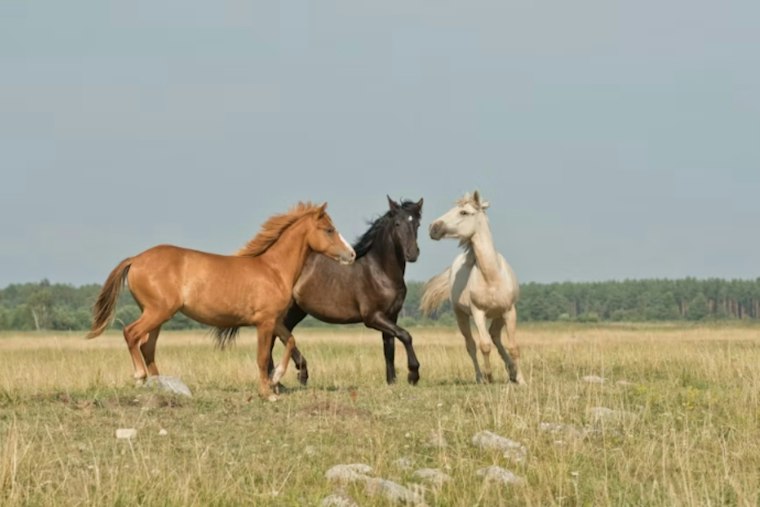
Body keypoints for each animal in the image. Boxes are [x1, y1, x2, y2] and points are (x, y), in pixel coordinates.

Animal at [86, 202, 356, 400]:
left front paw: (277, 378)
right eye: (329, 229)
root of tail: (136, 259)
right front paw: (268, 393)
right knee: (131, 334)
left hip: (157, 316)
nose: (351, 254)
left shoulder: (275, 321)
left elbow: (290, 341)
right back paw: (140, 377)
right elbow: (262, 357)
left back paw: (162, 385)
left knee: (147, 346)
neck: (273, 270)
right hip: (157, 312)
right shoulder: (264, 323)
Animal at [271, 196, 423, 385]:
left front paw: (391, 382)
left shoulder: (391, 315)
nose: (412, 253)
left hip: (296, 310)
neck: (380, 271)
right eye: (397, 223)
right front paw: (413, 374)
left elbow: (389, 348)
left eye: (417, 224)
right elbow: (405, 335)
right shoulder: (373, 317)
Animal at [421, 191, 525, 384]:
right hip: (461, 315)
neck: (491, 276)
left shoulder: (509, 311)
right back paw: (480, 377)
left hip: (499, 315)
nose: (433, 227)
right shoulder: (478, 312)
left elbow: (513, 346)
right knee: (471, 345)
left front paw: (521, 379)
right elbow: (484, 345)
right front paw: (489, 377)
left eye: (464, 212)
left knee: (495, 336)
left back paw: (512, 372)